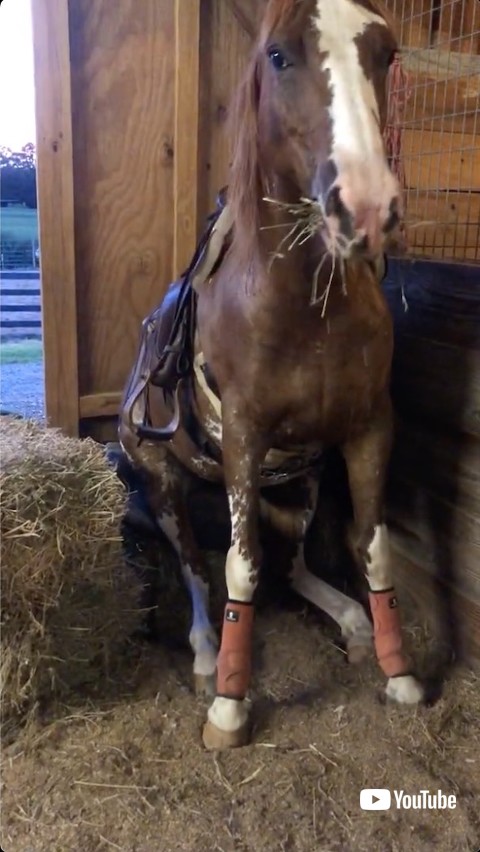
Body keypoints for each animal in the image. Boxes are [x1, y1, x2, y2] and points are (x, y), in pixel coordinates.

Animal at [119, 0, 425, 751]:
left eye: (386, 53)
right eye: (279, 56)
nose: (366, 208)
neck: (305, 307)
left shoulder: (369, 429)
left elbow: (372, 548)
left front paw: (399, 670)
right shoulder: (243, 438)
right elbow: (239, 564)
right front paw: (230, 705)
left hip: (301, 482)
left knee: (292, 564)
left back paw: (351, 622)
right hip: (165, 483)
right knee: (196, 562)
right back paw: (205, 652)